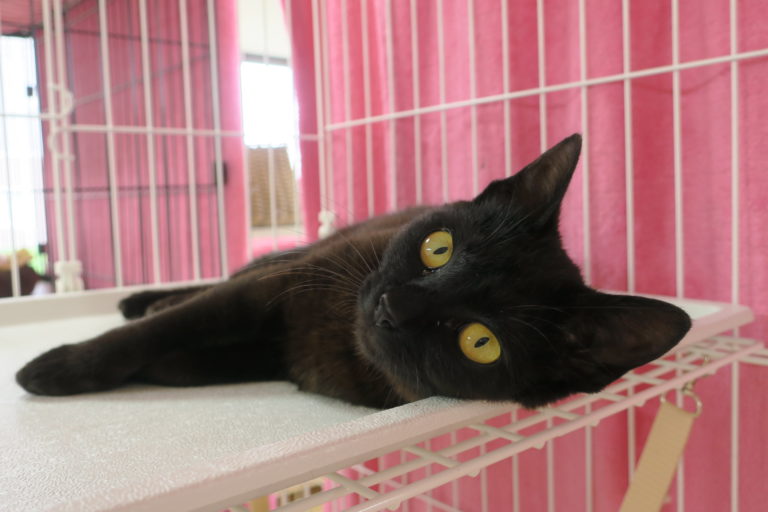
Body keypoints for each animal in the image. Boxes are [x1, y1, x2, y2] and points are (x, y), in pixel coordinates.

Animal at [16, 134, 691, 409]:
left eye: (481, 342)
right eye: (438, 248)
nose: (394, 306)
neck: (338, 336)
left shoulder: (268, 353)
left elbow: (177, 354)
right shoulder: (278, 285)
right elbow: (158, 332)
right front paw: (54, 369)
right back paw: (144, 299)